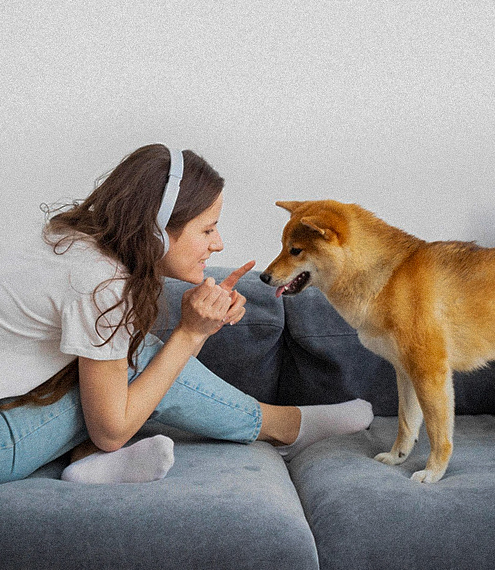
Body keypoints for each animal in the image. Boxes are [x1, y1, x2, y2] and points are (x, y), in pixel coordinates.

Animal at [260, 197, 495, 482]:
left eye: (295, 250)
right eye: (283, 246)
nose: (263, 277)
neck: (391, 278)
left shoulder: (429, 373)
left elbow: (438, 434)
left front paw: (433, 473)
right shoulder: (405, 373)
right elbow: (406, 423)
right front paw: (397, 457)